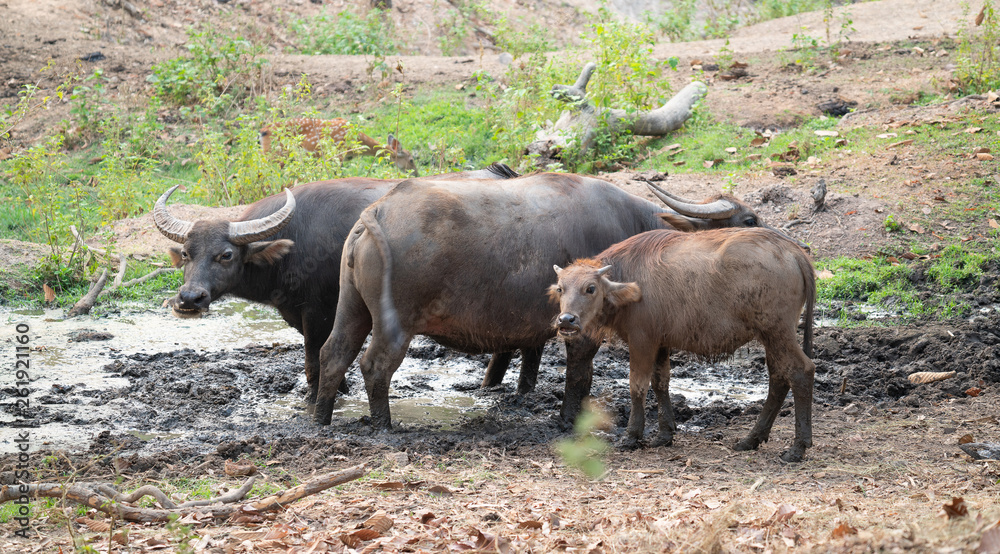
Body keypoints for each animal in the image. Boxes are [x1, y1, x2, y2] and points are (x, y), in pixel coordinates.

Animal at [154, 162, 524, 404]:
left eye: (227, 255)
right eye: (186, 253)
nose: (189, 298)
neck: (293, 244)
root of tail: (501, 172)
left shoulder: (317, 311)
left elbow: (313, 357)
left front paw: (314, 397)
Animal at [308, 172, 800, 426]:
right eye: (750, 218)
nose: (786, 246)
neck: (631, 227)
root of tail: (376, 212)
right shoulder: (582, 328)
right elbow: (579, 378)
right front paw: (568, 421)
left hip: (352, 308)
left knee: (333, 354)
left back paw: (321, 420)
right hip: (396, 324)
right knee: (374, 366)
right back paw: (384, 426)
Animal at [552, 226, 816, 460]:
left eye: (591, 288)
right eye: (561, 288)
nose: (566, 320)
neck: (629, 279)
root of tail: (792, 251)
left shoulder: (642, 341)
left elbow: (637, 386)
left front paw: (631, 436)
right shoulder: (660, 343)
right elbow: (661, 382)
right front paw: (664, 434)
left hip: (778, 332)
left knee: (801, 371)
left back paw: (798, 448)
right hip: (772, 337)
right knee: (779, 378)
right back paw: (751, 439)